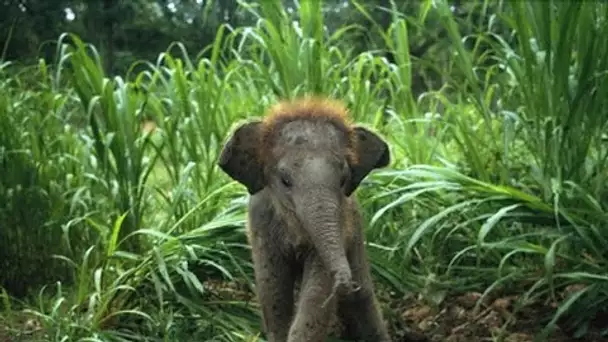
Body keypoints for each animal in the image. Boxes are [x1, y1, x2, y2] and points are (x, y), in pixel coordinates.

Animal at [218, 97, 394, 342]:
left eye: (343, 180)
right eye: (285, 181)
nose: (345, 283)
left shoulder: (341, 222)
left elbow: (316, 291)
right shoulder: (261, 223)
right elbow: (272, 289)